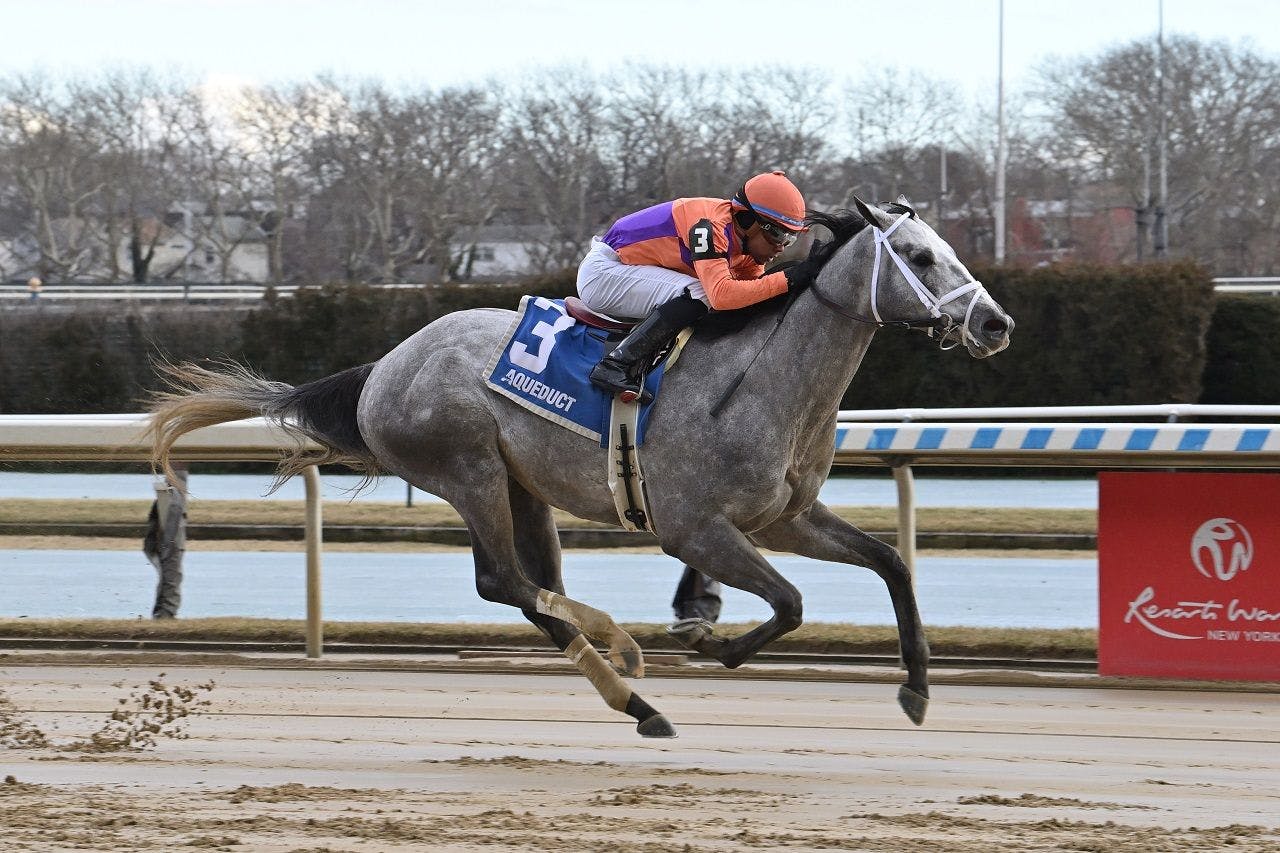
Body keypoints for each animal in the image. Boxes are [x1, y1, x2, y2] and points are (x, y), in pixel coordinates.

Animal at [147, 195, 1008, 732]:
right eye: (921, 256)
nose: (995, 322)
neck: (764, 380)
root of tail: (386, 365)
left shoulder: (785, 517)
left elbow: (892, 563)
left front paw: (917, 686)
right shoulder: (695, 529)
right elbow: (792, 602)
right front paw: (713, 645)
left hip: (523, 484)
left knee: (534, 590)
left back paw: (634, 696)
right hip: (468, 471)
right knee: (503, 580)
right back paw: (623, 652)